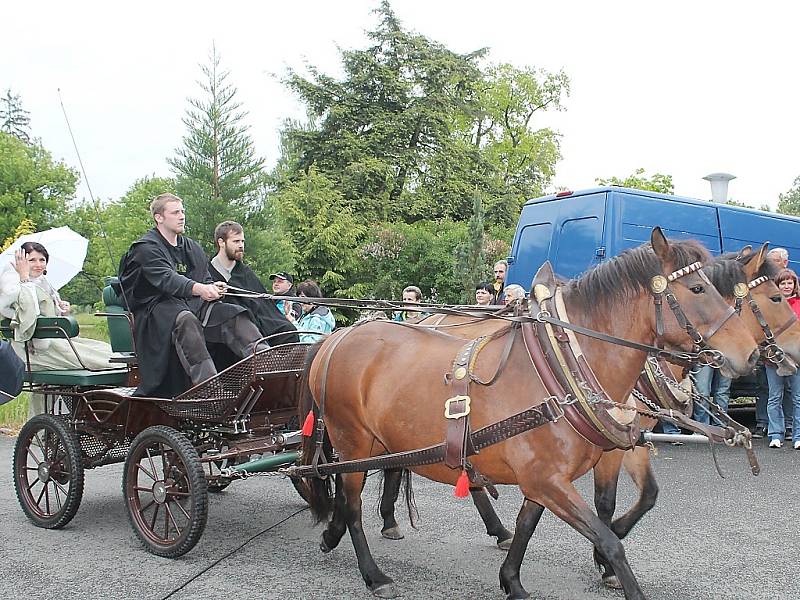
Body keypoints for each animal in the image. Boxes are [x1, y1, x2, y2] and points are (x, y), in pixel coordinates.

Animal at [300, 230, 756, 600]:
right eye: (697, 288)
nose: (751, 354)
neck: (564, 365)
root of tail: (338, 337)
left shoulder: (546, 478)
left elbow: (527, 525)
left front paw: (512, 581)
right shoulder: (547, 478)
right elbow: (611, 541)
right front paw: (611, 568)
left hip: (381, 441)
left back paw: (335, 535)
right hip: (352, 439)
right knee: (352, 502)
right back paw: (373, 574)